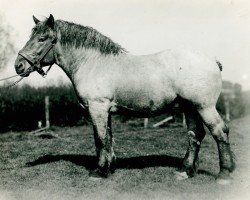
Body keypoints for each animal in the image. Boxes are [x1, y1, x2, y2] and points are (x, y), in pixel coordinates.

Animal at [14, 14, 235, 184]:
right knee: (195, 135)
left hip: (204, 107)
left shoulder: (97, 108)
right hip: (190, 108)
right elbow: (108, 138)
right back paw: (185, 171)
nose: (18, 66)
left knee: (219, 131)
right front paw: (110, 168)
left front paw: (99, 172)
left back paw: (224, 174)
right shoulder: (105, 110)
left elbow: (100, 138)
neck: (93, 63)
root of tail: (212, 60)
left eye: (42, 38)